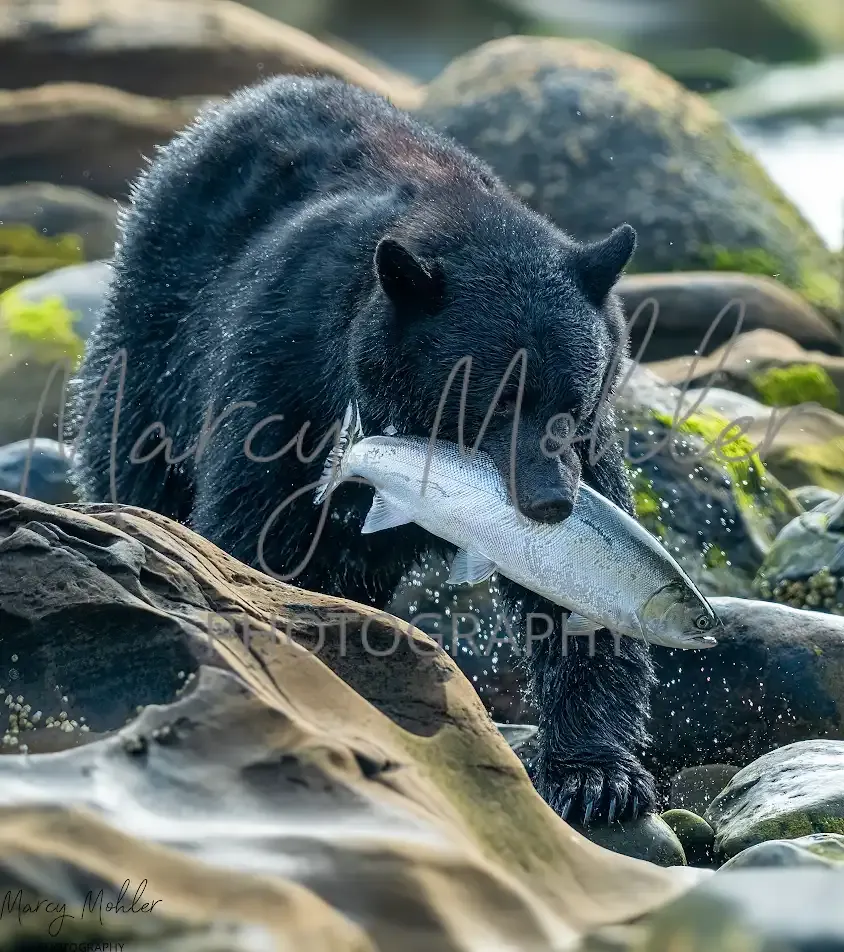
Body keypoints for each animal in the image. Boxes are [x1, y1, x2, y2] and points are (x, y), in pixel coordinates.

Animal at [69, 74, 656, 820]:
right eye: (490, 402)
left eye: (571, 403)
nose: (550, 502)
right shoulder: (284, 374)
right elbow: (259, 537)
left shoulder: (592, 449)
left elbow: (578, 602)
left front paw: (596, 776)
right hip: (153, 342)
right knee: (134, 459)